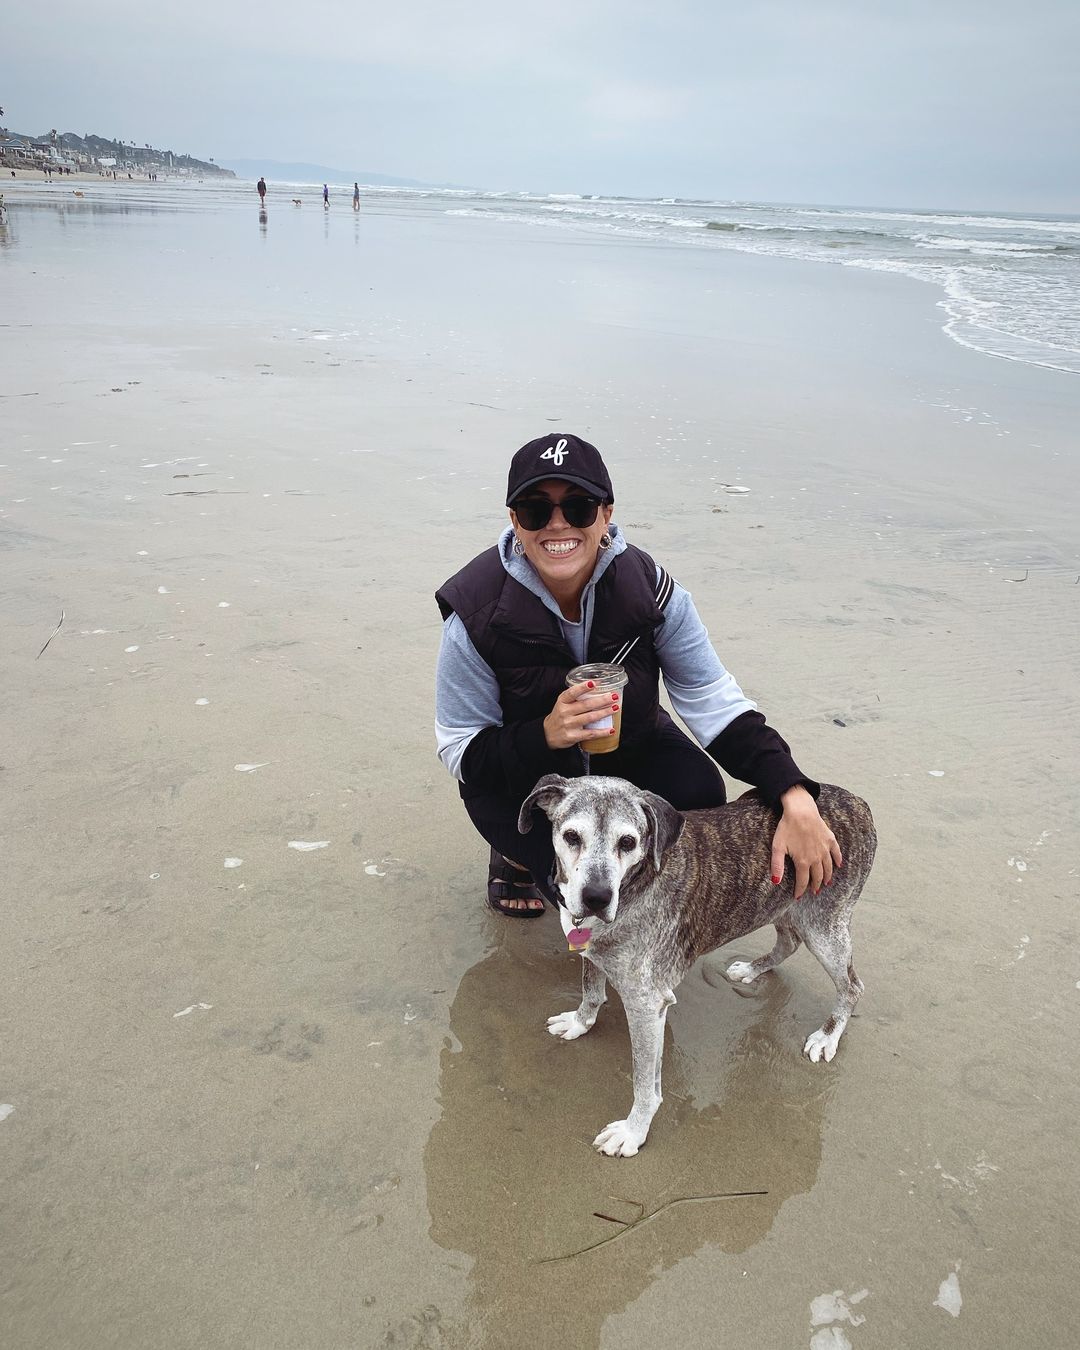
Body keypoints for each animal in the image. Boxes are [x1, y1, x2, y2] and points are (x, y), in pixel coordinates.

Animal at [515, 777, 874, 1155]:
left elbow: (644, 1082)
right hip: (785, 903)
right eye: (571, 836)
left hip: (824, 928)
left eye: (628, 842)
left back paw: (828, 1035)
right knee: (789, 941)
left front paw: (633, 1131)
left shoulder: (646, 1005)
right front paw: (580, 1022)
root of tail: (858, 802)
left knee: (852, 986)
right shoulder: (593, 950)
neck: (637, 883)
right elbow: (591, 990)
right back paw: (753, 970)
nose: (596, 897)